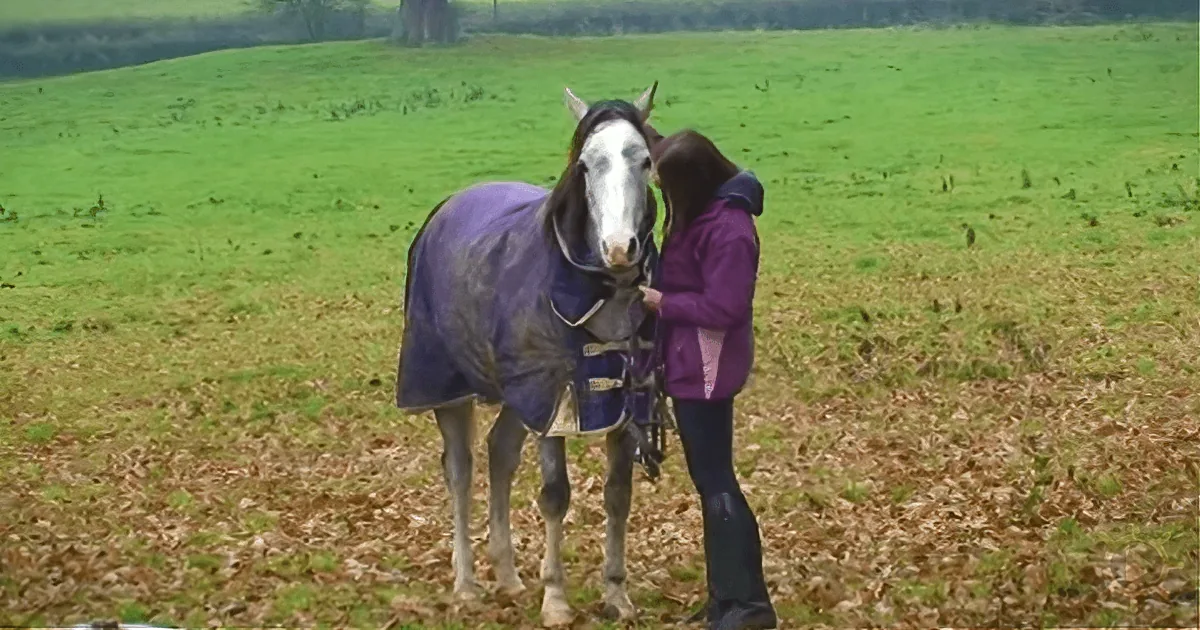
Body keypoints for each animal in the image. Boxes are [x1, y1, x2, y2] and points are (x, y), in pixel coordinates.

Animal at [395, 83, 670, 626]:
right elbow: (555, 496)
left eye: (645, 159)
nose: (619, 249)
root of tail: (449, 207)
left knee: (500, 454)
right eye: (585, 163)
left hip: (517, 399)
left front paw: (616, 594)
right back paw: (467, 584)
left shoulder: (618, 406)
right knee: (460, 471)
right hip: (451, 392)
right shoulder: (554, 401)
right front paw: (557, 599)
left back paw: (507, 575)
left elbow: (617, 496)